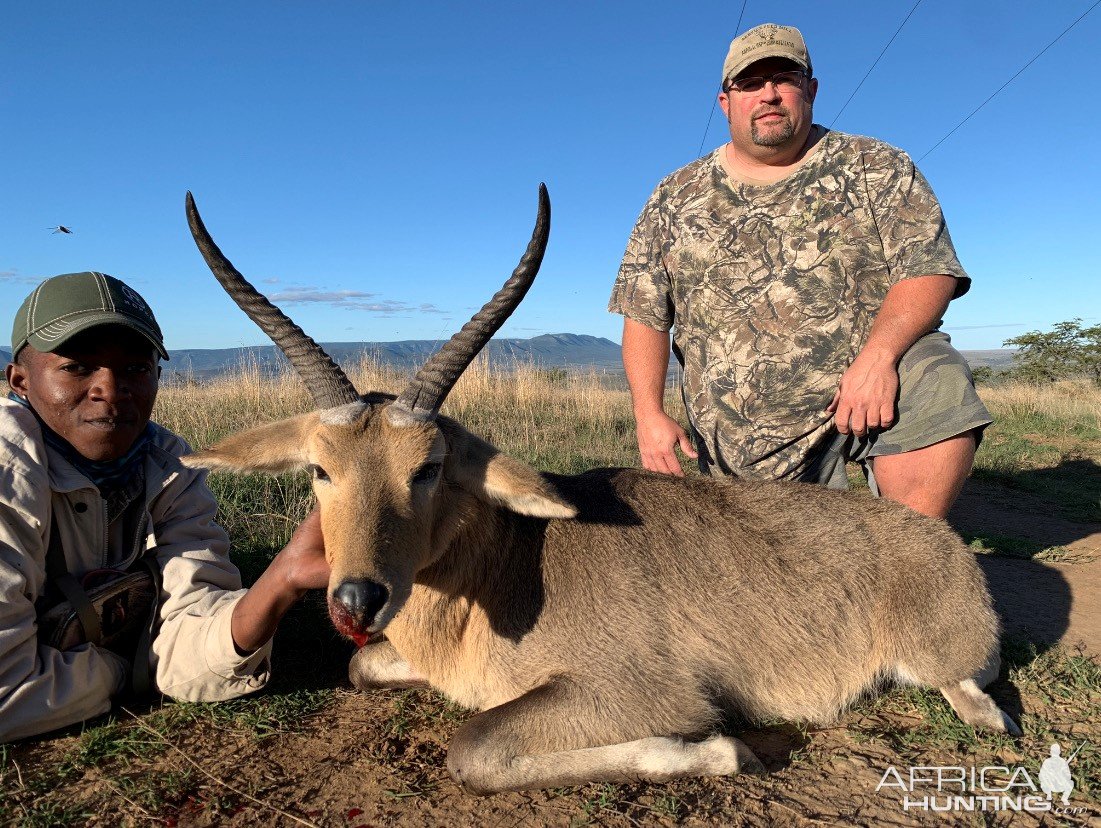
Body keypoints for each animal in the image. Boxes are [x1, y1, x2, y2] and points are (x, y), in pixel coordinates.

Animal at [178, 189, 1012, 797]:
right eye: (320, 470)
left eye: (428, 467)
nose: (356, 600)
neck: (507, 569)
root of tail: (944, 546)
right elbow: (364, 669)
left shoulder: (641, 693)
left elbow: (474, 749)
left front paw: (717, 753)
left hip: (946, 674)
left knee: (985, 712)